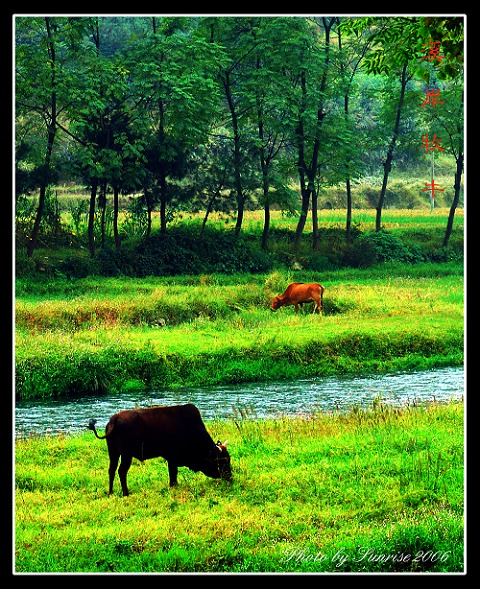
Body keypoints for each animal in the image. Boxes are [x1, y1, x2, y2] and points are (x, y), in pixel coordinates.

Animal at [91, 402, 233, 494]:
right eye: (223, 460)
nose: (230, 477)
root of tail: (114, 419)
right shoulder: (172, 458)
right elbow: (173, 473)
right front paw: (173, 486)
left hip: (113, 453)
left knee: (111, 470)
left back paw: (110, 492)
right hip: (126, 455)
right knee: (121, 471)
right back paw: (126, 493)